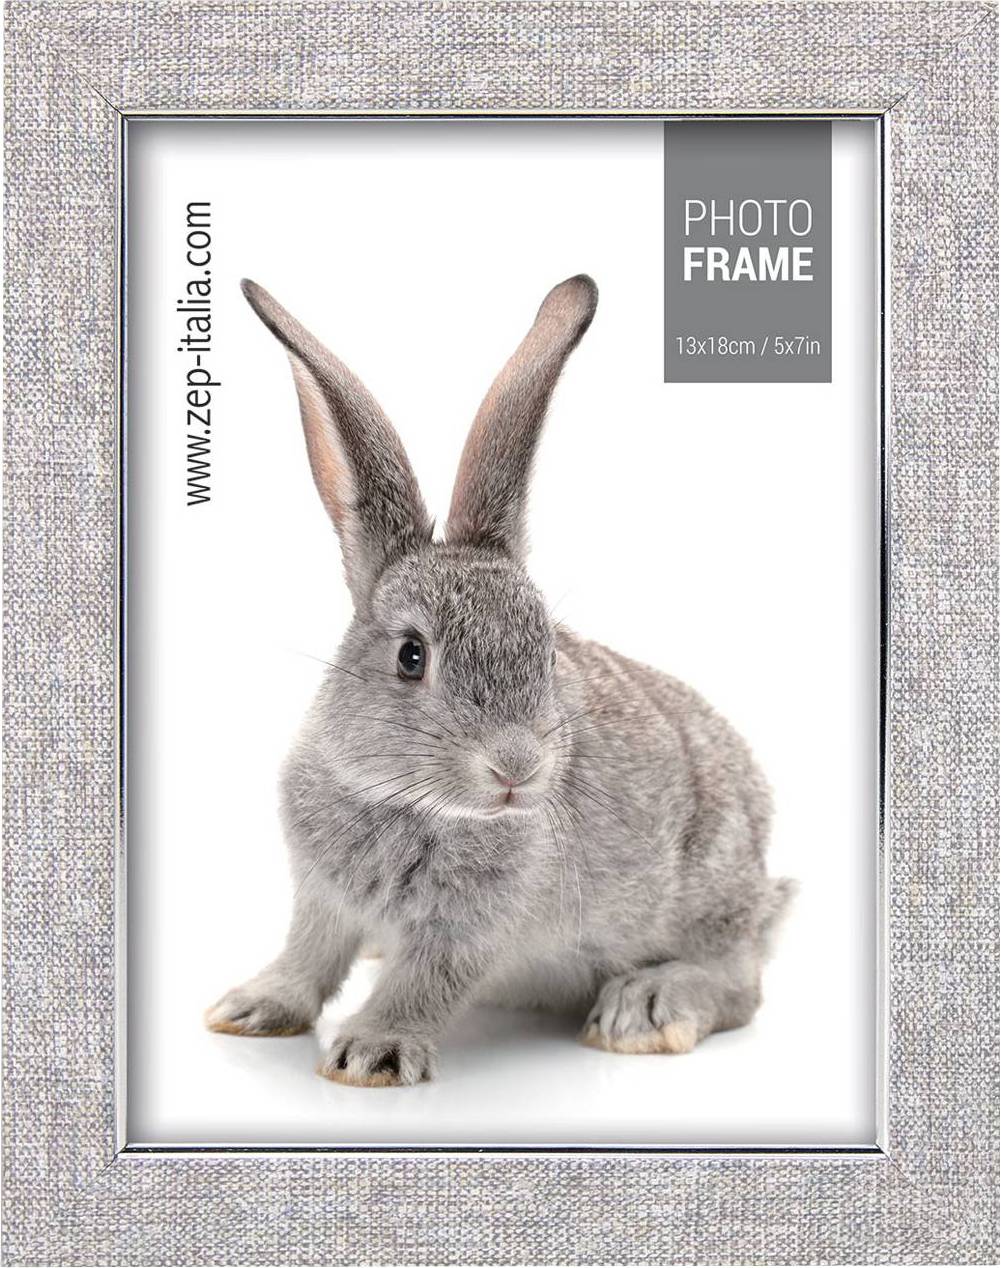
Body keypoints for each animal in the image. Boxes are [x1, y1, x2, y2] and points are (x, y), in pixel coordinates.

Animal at [205, 273, 794, 1087]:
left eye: (545, 653)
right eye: (411, 655)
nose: (517, 767)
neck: (409, 803)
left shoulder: (470, 929)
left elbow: (423, 982)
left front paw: (371, 1052)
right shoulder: (321, 898)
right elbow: (309, 956)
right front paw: (252, 1008)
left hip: (708, 889)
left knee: (739, 982)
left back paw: (645, 1010)